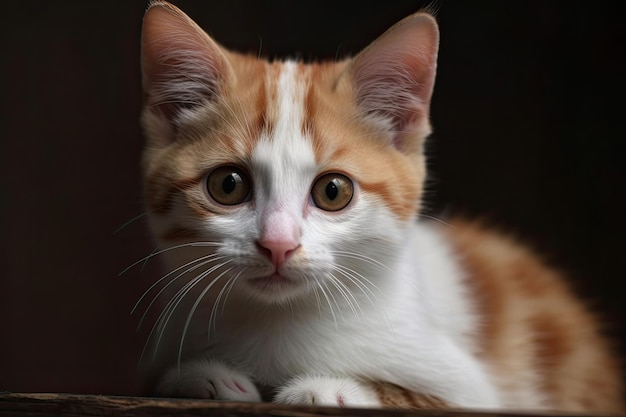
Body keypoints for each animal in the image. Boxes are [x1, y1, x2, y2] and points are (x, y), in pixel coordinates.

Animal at [138, 1, 624, 412]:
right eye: (228, 185)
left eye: (333, 192)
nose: (278, 244)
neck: (278, 321)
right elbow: (161, 376)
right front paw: (203, 376)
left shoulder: (475, 390)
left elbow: (415, 396)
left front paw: (325, 388)